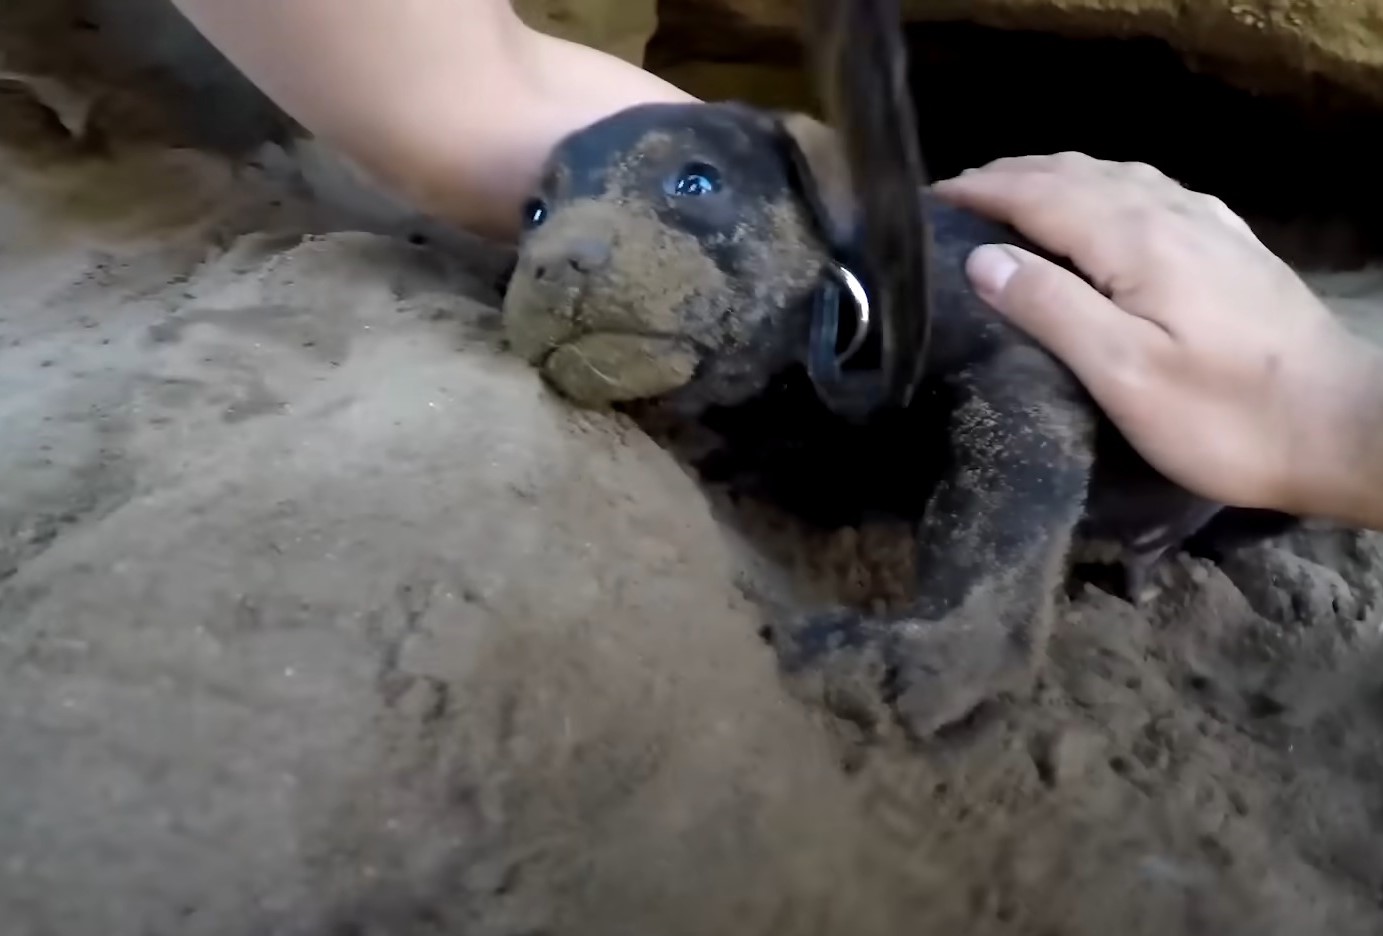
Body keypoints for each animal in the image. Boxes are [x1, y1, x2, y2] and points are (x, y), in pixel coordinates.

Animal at [503, 102, 1277, 741]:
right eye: (535, 214)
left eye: (694, 183)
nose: (553, 264)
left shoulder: (1019, 370)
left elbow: (993, 525)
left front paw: (926, 649)